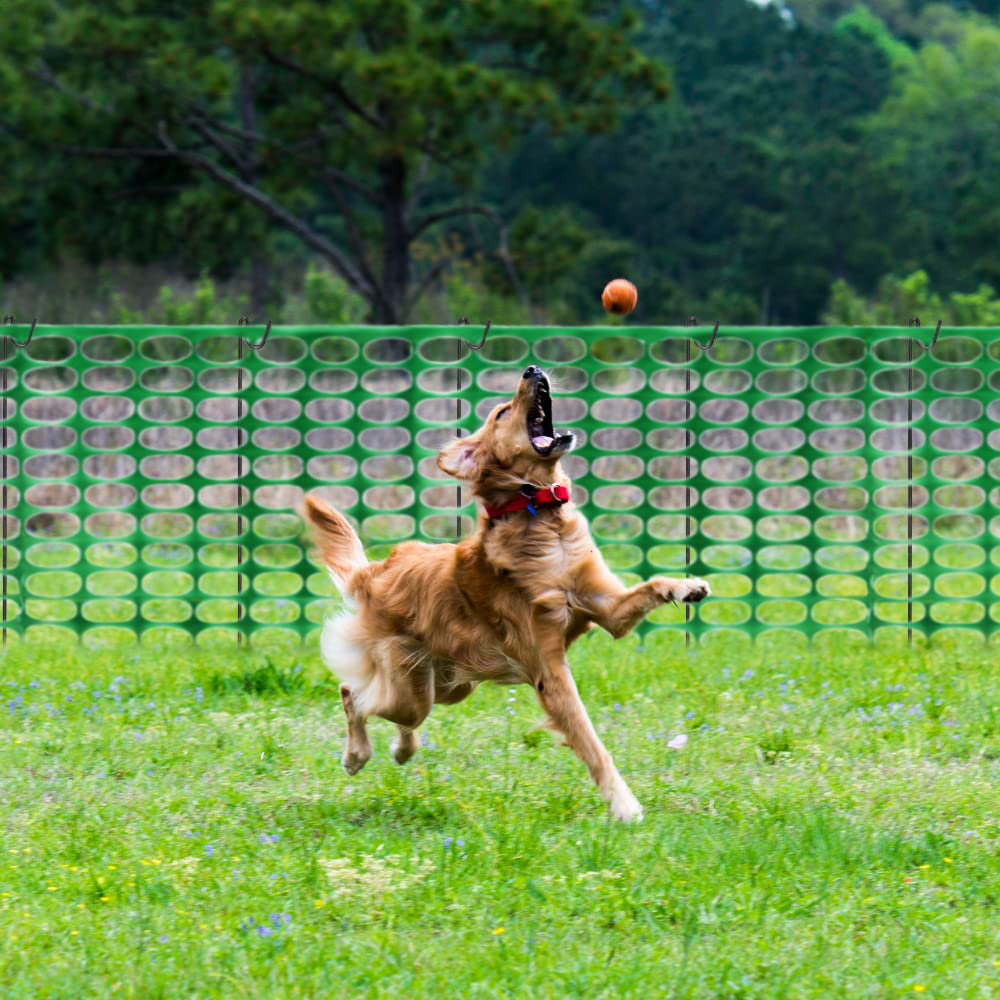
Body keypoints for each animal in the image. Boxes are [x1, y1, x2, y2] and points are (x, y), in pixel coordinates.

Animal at [304, 366, 712, 820]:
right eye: (502, 412)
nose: (532, 370)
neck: (541, 519)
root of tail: (376, 571)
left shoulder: (607, 608)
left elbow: (650, 587)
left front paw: (687, 586)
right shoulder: (548, 670)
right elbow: (590, 741)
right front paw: (624, 806)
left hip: (447, 685)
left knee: (399, 715)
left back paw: (402, 749)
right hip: (414, 681)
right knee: (355, 696)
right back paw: (356, 755)